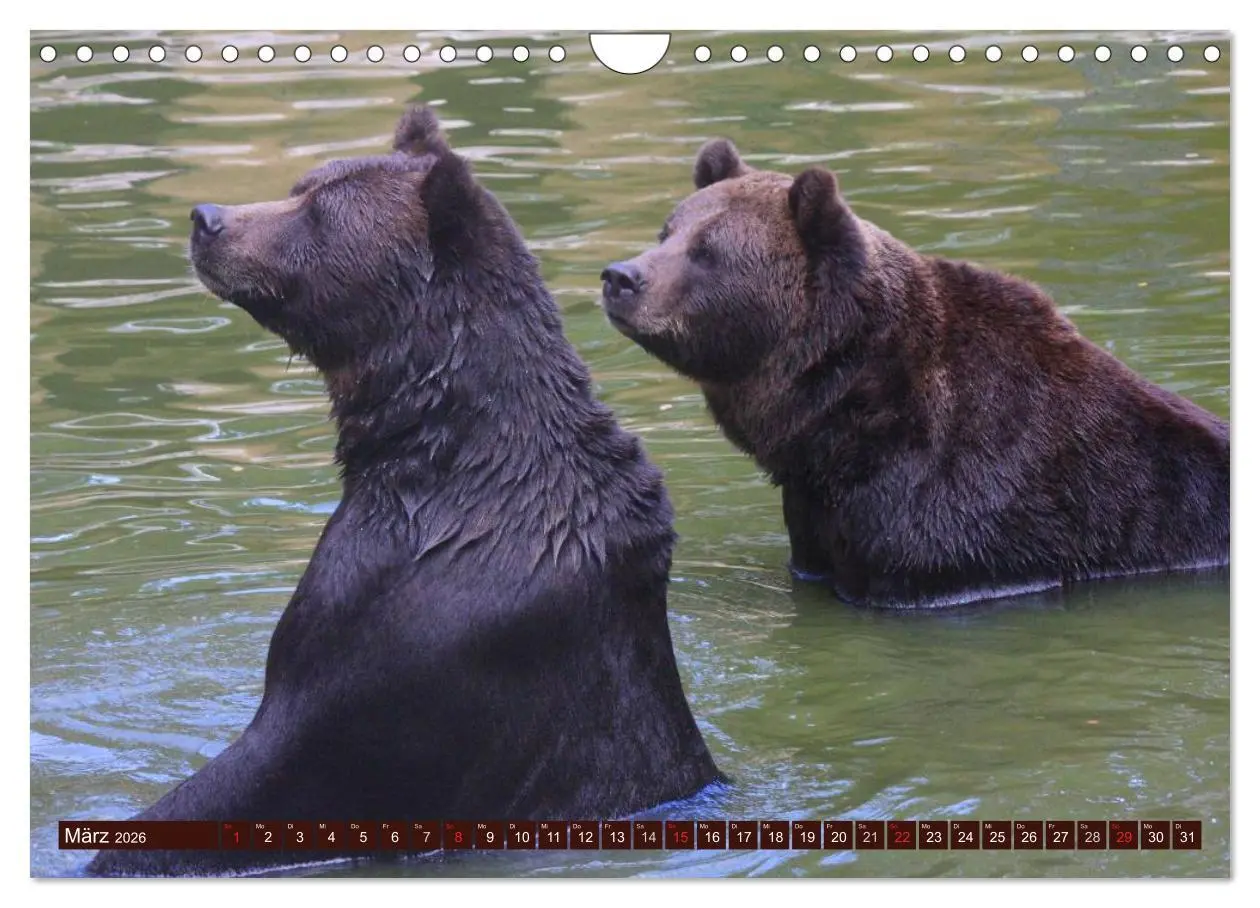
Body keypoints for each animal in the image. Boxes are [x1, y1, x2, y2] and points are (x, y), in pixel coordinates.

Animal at [86, 107, 721, 876]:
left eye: (319, 211)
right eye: (302, 185)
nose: (208, 218)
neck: (442, 455)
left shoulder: (398, 634)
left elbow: (266, 766)